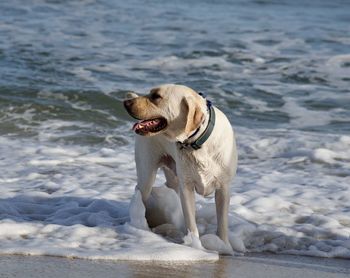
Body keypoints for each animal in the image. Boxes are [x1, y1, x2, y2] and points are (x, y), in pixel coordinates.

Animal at [123, 84, 238, 245]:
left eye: (156, 96)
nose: (126, 103)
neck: (196, 142)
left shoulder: (224, 188)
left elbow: (222, 222)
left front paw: (223, 244)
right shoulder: (187, 187)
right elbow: (191, 222)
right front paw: (195, 245)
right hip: (147, 176)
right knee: (141, 193)